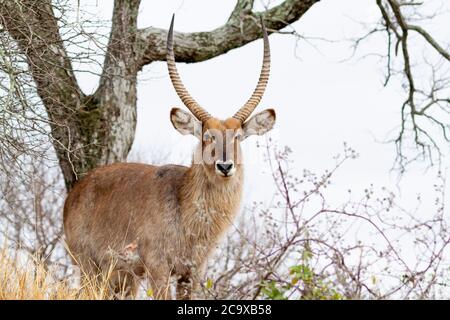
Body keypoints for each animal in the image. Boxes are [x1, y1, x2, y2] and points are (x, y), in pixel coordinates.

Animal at [62, 15, 274, 300]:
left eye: (238, 136)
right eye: (207, 136)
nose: (225, 166)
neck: (184, 207)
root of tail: (76, 191)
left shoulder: (192, 273)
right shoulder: (158, 267)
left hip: (123, 277)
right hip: (89, 266)